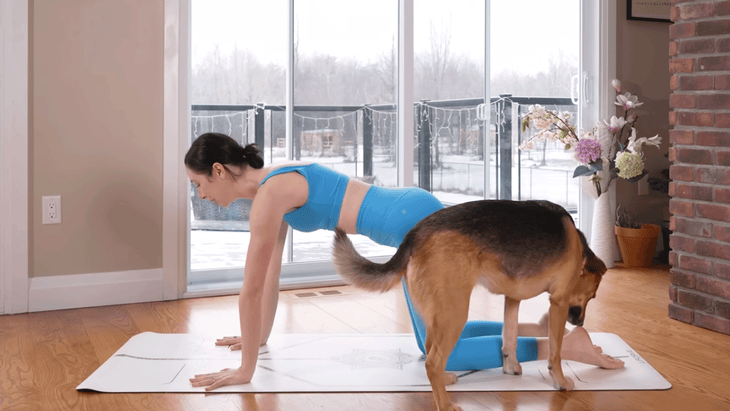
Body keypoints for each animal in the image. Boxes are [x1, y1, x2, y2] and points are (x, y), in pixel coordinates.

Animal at [332, 200, 604, 411]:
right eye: (592, 297)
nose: (580, 323)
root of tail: (415, 233)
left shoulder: (512, 299)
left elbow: (510, 337)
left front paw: (510, 367)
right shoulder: (559, 303)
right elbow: (556, 351)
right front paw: (560, 381)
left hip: (440, 317)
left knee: (431, 353)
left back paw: (444, 381)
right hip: (455, 314)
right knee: (432, 362)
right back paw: (445, 404)